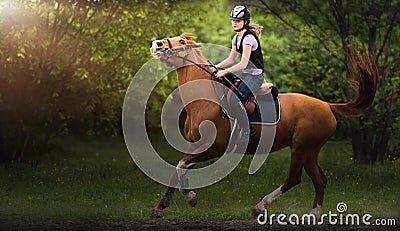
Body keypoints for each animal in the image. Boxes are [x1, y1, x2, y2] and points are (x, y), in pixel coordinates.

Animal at [148, 32, 380, 218]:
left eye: (181, 41)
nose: (156, 44)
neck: (205, 100)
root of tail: (327, 105)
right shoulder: (195, 144)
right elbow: (178, 170)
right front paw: (163, 206)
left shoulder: (215, 147)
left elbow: (181, 166)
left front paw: (189, 198)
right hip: (310, 151)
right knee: (320, 180)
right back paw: (313, 215)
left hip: (301, 148)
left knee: (294, 178)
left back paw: (260, 207)